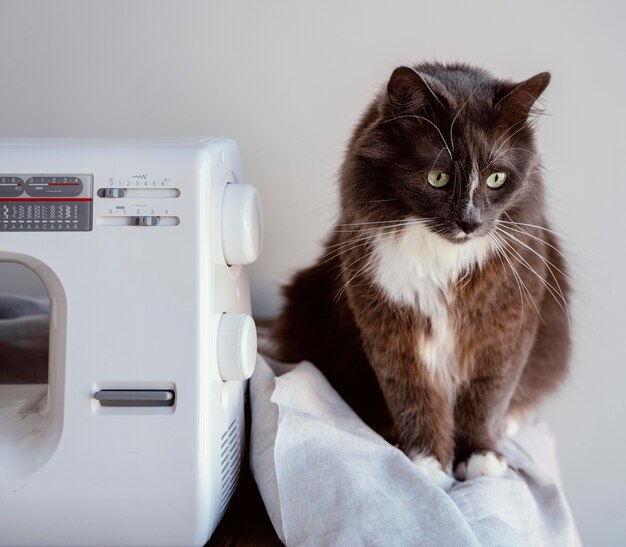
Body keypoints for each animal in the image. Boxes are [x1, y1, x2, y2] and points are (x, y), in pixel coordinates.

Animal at [266, 62, 568, 490]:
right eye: (437, 178)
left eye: (495, 178)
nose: (469, 223)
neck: (443, 261)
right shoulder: (390, 326)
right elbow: (414, 395)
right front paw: (429, 466)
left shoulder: (505, 329)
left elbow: (488, 396)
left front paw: (481, 459)